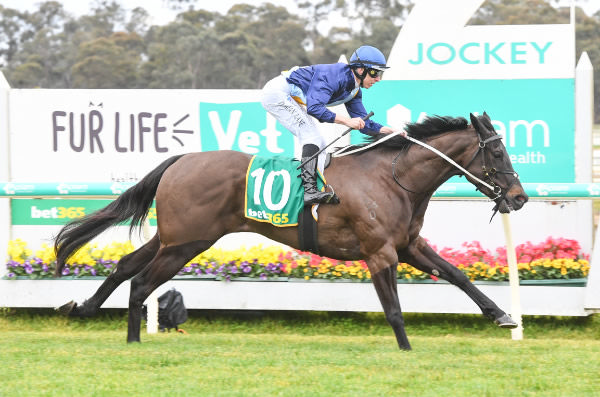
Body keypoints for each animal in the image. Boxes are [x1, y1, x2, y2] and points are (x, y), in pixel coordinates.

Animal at [54, 111, 528, 350]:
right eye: (497, 152)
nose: (520, 197)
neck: (393, 177)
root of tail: (181, 159)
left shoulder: (408, 245)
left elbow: (458, 275)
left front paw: (503, 316)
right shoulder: (380, 252)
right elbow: (393, 308)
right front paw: (407, 349)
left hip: (172, 237)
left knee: (124, 266)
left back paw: (85, 308)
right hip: (186, 242)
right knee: (140, 282)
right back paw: (132, 338)